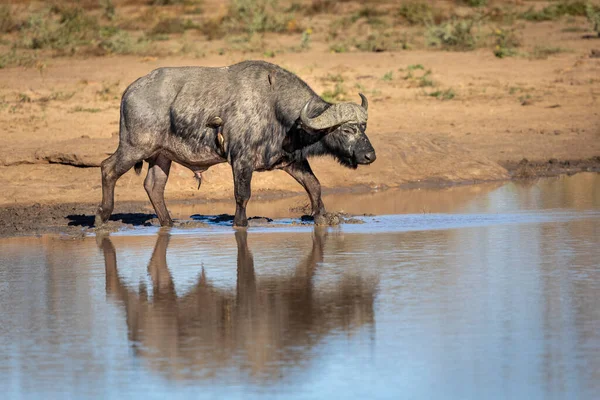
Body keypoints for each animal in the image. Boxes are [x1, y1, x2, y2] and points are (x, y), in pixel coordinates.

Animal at [95, 60, 376, 227]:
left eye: (363, 128)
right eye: (348, 129)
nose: (370, 156)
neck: (276, 108)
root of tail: (130, 91)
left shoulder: (290, 160)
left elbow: (315, 186)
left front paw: (322, 216)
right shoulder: (241, 161)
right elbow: (242, 194)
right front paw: (241, 223)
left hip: (161, 156)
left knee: (154, 186)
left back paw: (168, 223)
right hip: (134, 147)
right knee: (108, 168)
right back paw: (102, 215)